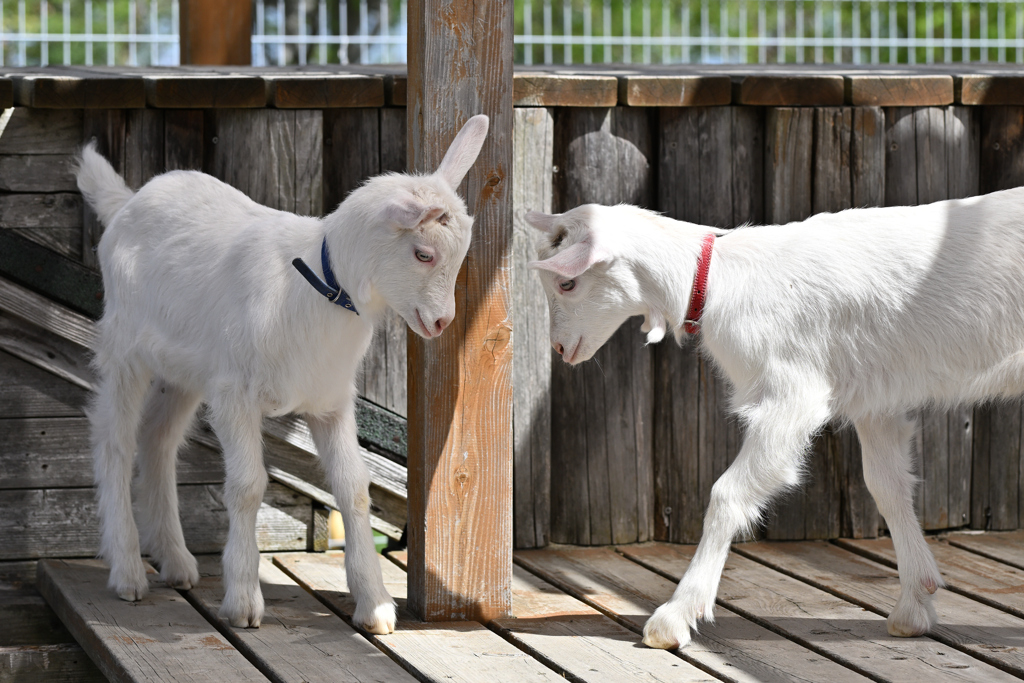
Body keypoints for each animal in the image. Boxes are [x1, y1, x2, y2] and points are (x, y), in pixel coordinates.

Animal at [74, 114, 487, 634]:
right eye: (424, 254)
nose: (441, 323)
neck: (319, 286)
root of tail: (127, 202)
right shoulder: (235, 395)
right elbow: (248, 486)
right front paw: (244, 601)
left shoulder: (330, 401)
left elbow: (354, 489)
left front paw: (375, 606)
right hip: (127, 348)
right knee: (114, 440)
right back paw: (128, 571)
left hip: (186, 371)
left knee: (158, 441)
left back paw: (177, 563)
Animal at [532, 188, 1024, 651]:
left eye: (568, 284)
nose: (559, 348)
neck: (717, 279)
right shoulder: (876, 396)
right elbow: (887, 487)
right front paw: (914, 604)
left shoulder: (791, 393)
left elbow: (727, 494)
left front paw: (674, 617)